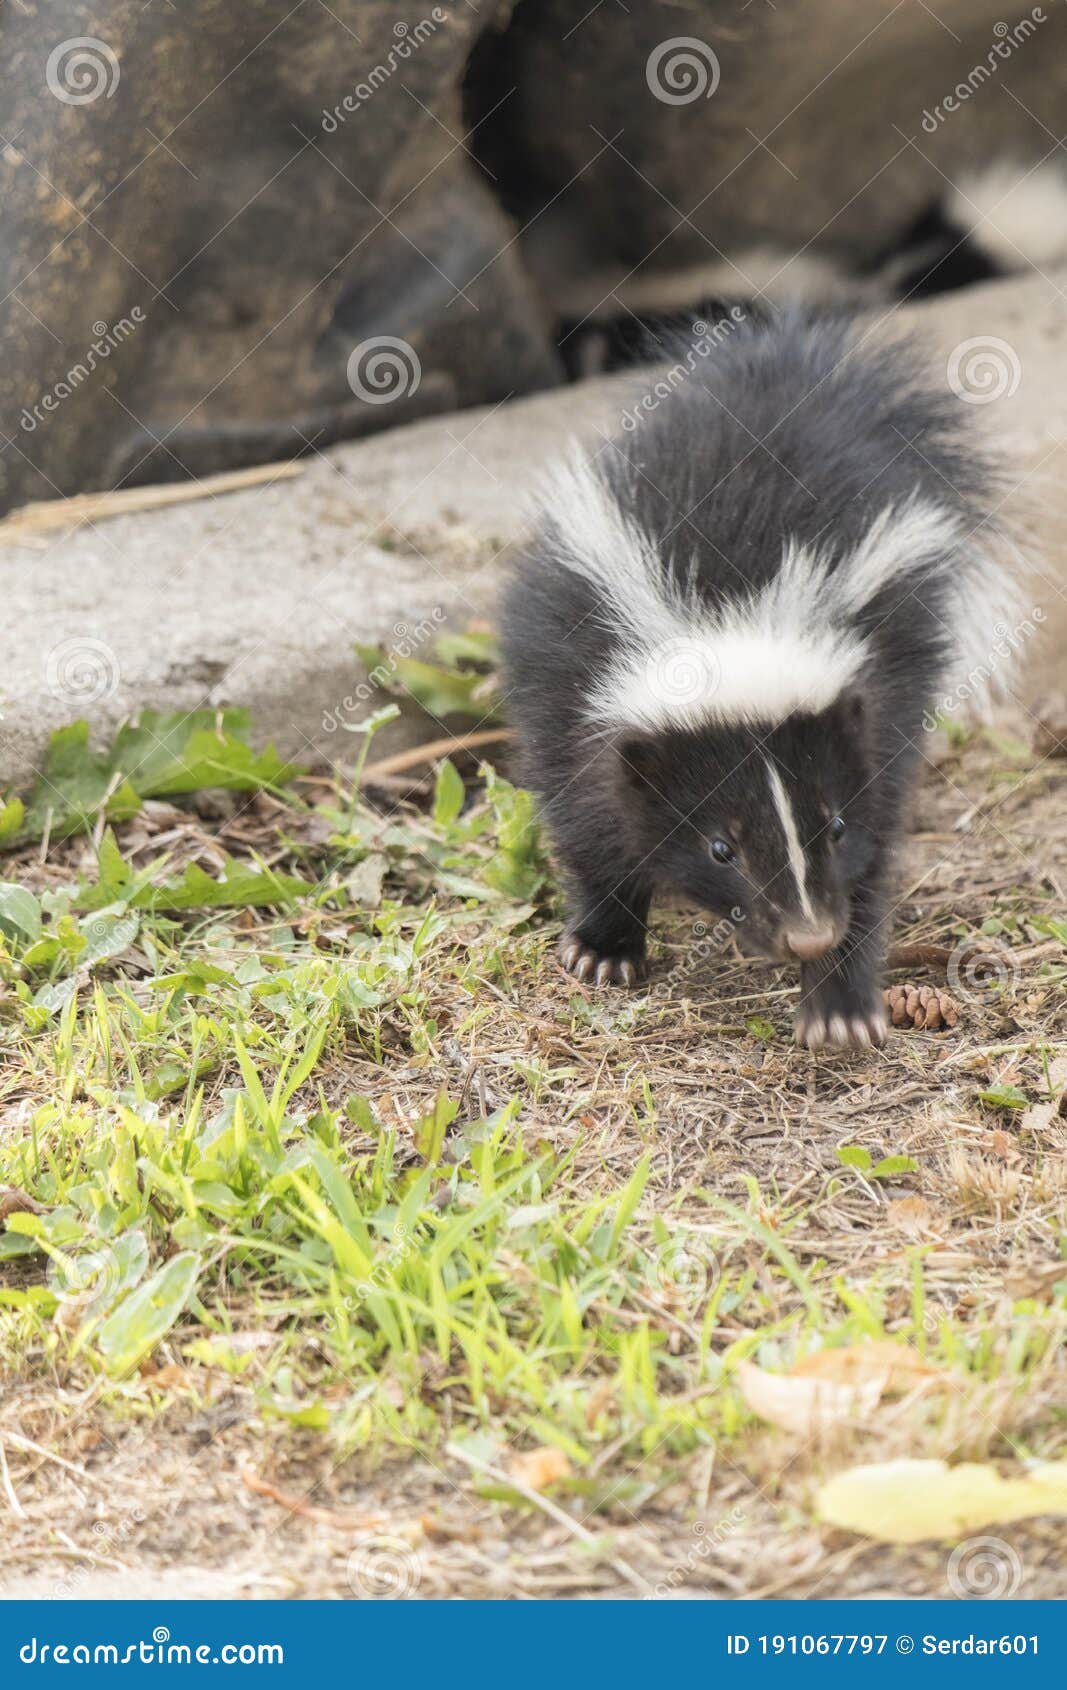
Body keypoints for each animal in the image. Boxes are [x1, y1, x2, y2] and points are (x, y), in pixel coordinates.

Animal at [503, 304, 1021, 1041]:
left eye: (833, 825)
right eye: (721, 848)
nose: (807, 935)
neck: (732, 614)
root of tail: (781, 374)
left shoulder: (882, 686)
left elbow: (875, 842)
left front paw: (839, 1004)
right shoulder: (573, 665)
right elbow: (586, 812)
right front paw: (603, 946)